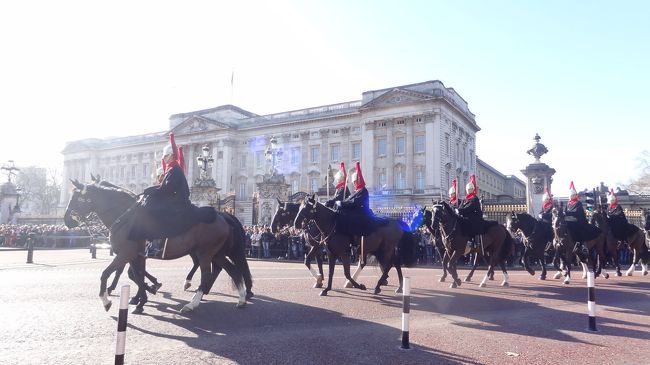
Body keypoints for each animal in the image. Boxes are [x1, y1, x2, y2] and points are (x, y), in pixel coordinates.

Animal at [64, 179, 251, 312]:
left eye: (77, 198)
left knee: (207, 275)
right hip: (215, 253)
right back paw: (241, 299)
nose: (66, 221)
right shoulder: (137, 255)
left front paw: (107, 300)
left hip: (205, 252)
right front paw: (143, 297)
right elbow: (136, 275)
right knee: (232, 270)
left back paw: (192, 303)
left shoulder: (126, 253)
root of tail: (222, 216)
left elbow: (107, 273)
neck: (126, 216)